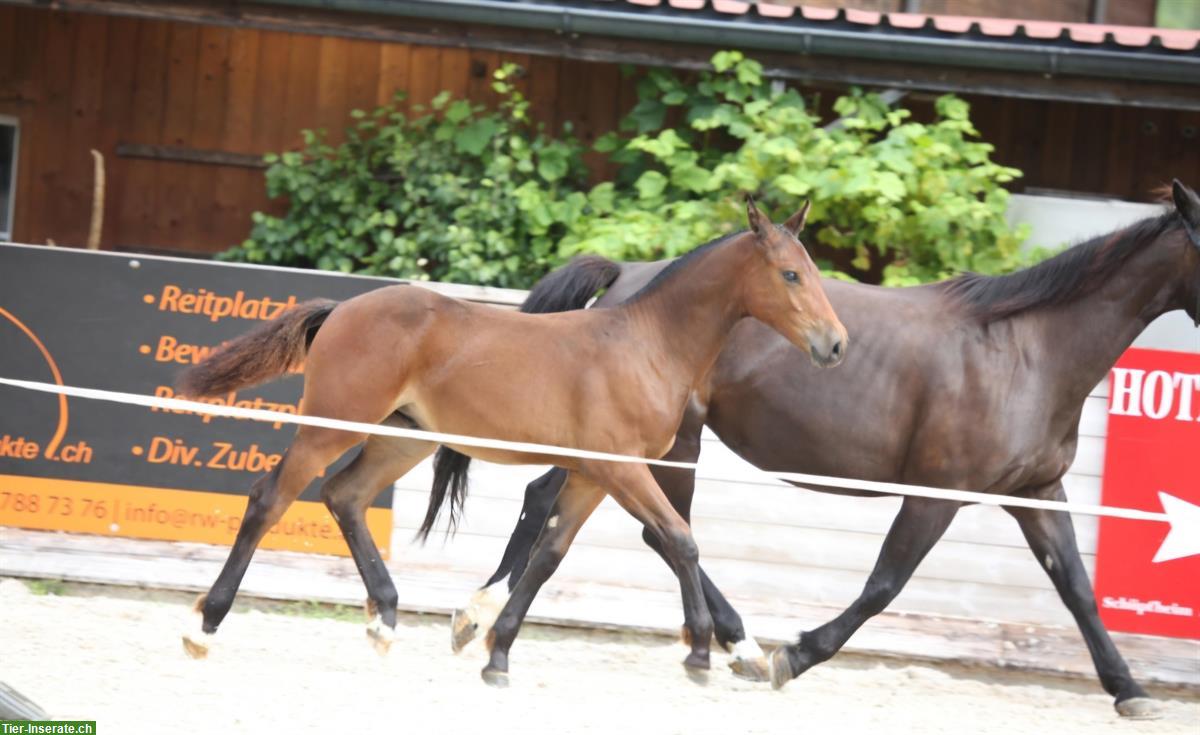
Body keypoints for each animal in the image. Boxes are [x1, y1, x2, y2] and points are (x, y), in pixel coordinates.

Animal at [177, 199, 849, 682]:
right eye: (790, 274)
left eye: (815, 273)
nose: (835, 344)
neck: (646, 345)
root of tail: (342, 310)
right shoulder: (623, 469)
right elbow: (680, 540)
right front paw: (702, 655)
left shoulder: (591, 474)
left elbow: (549, 554)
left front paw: (496, 653)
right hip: (333, 424)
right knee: (271, 497)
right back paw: (204, 627)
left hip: (402, 438)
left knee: (345, 495)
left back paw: (386, 621)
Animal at [444, 178, 1200, 715]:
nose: (833, 347)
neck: (1024, 351)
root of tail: (628, 274)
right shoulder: (937, 495)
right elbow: (883, 585)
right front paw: (797, 654)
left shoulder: (1037, 493)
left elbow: (1076, 588)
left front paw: (1131, 689)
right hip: (670, 444)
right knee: (651, 529)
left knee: (580, 506)